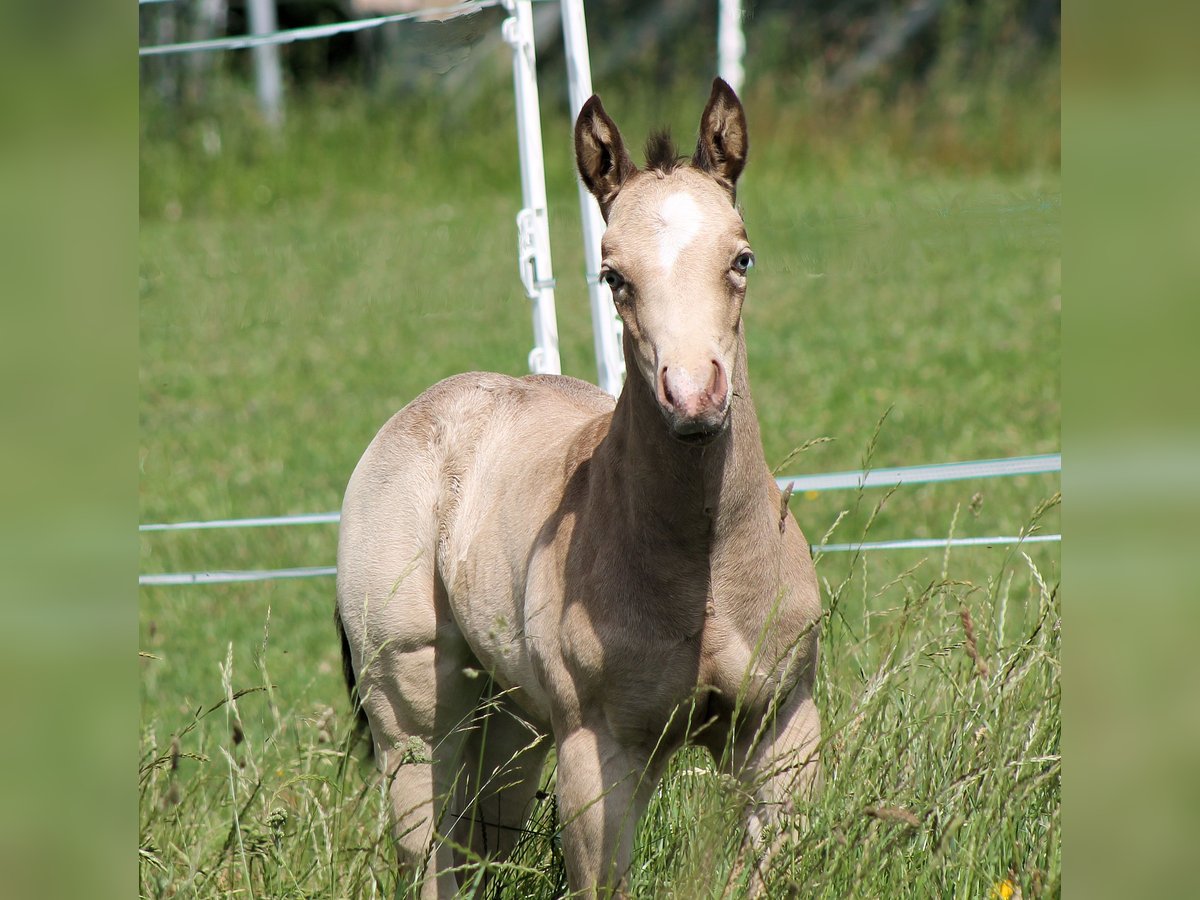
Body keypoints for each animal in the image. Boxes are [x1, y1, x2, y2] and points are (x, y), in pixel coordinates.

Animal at [338, 81, 825, 897]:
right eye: (612, 276)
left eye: (742, 257)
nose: (694, 399)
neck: (705, 569)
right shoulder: (601, 754)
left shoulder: (781, 731)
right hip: (413, 719)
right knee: (432, 858)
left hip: (513, 722)